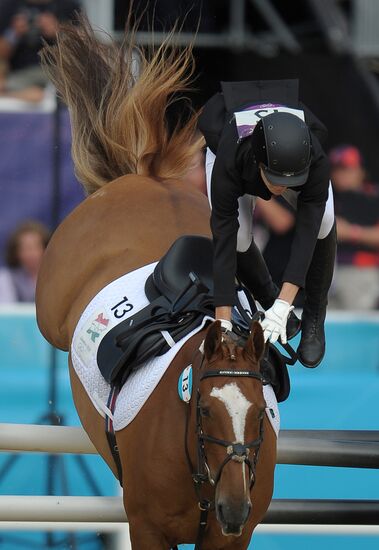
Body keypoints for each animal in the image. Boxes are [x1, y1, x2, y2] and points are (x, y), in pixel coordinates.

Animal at [35, 15, 278, 548]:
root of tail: (142, 175)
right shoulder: (146, 527)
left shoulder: (230, 537)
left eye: (257, 413)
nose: (234, 507)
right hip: (48, 313)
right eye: (205, 410)